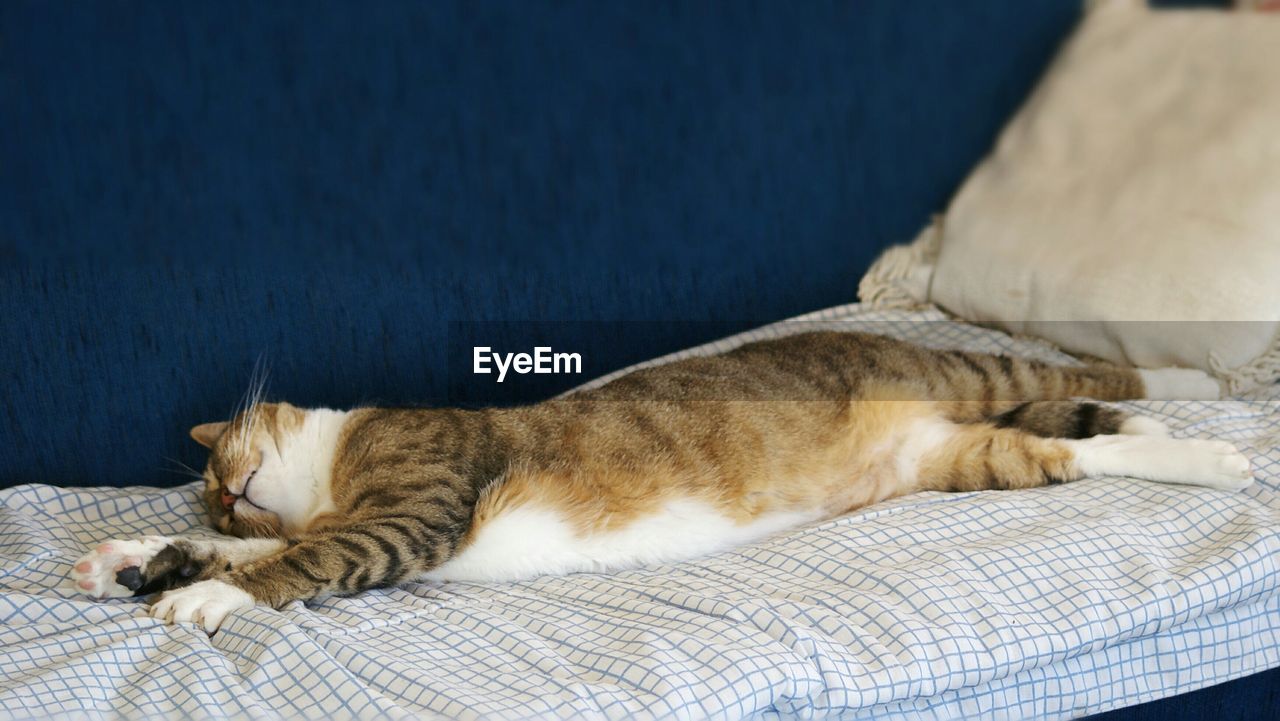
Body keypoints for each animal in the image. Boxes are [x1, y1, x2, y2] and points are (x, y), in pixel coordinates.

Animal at [70, 332, 1249, 632]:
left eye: (217, 465)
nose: (224, 493)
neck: (328, 470)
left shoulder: (416, 504)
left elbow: (300, 557)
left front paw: (202, 590)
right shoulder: (370, 519)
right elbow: (274, 548)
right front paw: (140, 557)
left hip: (965, 373)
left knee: (1083, 374)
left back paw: (1211, 403)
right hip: (951, 458)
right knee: (1065, 444)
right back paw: (1181, 441)